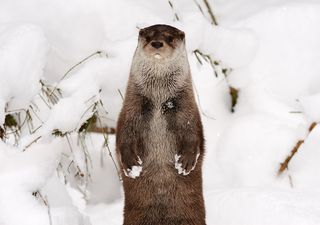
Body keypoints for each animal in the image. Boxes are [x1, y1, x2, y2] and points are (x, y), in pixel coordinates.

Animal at [115, 24, 205, 225]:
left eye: (170, 38)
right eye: (148, 36)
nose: (157, 43)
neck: (158, 100)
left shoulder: (188, 112)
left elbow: (193, 135)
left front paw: (186, 162)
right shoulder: (129, 112)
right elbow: (123, 136)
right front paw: (131, 165)